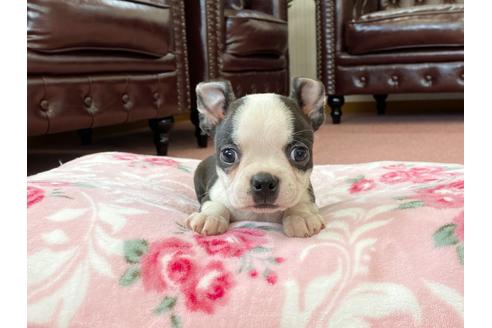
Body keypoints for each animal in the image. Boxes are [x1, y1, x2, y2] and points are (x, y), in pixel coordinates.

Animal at [185, 77, 326, 238]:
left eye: (300, 153)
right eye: (228, 155)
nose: (264, 182)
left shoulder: (308, 193)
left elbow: (302, 202)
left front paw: (301, 215)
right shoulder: (212, 194)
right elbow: (215, 204)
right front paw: (210, 216)